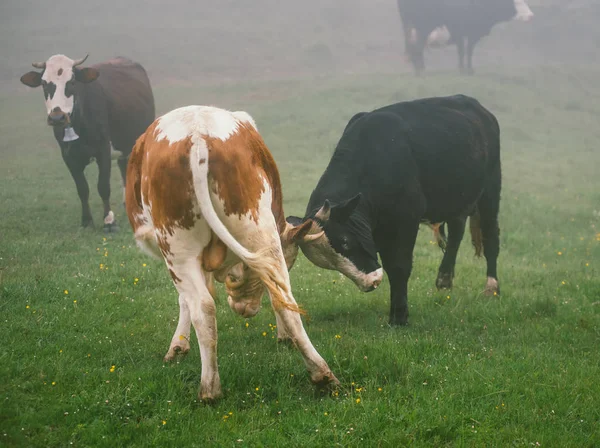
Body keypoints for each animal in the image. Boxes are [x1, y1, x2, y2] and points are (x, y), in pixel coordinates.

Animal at [21, 53, 156, 231]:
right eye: (44, 83)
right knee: (124, 167)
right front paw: (86, 221)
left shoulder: (103, 150)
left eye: (72, 82)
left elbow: (103, 186)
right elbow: (82, 189)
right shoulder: (68, 156)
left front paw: (109, 221)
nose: (57, 117)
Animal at [126, 106, 338, 402]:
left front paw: (177, 347)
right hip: (258, 230)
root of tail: (198, 136)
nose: (245, 309)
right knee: (283, 299)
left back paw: (209, 390)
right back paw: (322, 375)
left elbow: (184, 301)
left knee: (202, 306)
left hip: (176, 246)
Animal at [286, 94, 502, 326]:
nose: (370, 282)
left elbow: (399, 266)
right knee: (456, 233)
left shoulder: (406, 220)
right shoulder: (378, 227)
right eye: (329, 263)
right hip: (457, 200)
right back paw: (444, 279)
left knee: (491, 238)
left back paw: (492, 288)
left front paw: (399, 316)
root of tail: (476, 106)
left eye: (345, 241)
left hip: (490, 191)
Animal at [398, 0, 536, 74]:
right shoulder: (469, 33)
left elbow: (462, 51)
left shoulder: (461, 33)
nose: (531, 16)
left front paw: (462, 69)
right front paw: (469, 71)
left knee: (413, 46)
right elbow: (468, 51)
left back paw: (419, 69)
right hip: (423, 27)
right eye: (517, 2)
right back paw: (420, 70)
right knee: (417, 47)